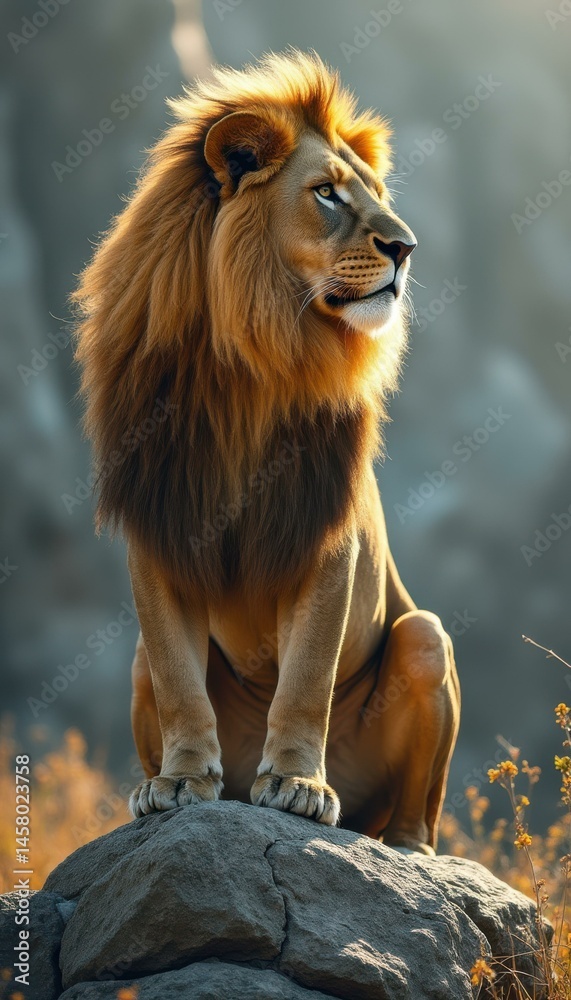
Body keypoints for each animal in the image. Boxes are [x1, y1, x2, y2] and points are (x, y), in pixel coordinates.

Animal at [74, 51, 460, 854]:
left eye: (377, 195)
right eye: (326, 194)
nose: (406, 248)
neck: (247, 365)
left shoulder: (326, 540)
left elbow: (307, 675)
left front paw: (297, 784)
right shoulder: (158, 532)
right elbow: (179, 680)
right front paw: (179, 782)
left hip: (423, 639)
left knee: (418, 807)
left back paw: (401, 846)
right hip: (136, 664)